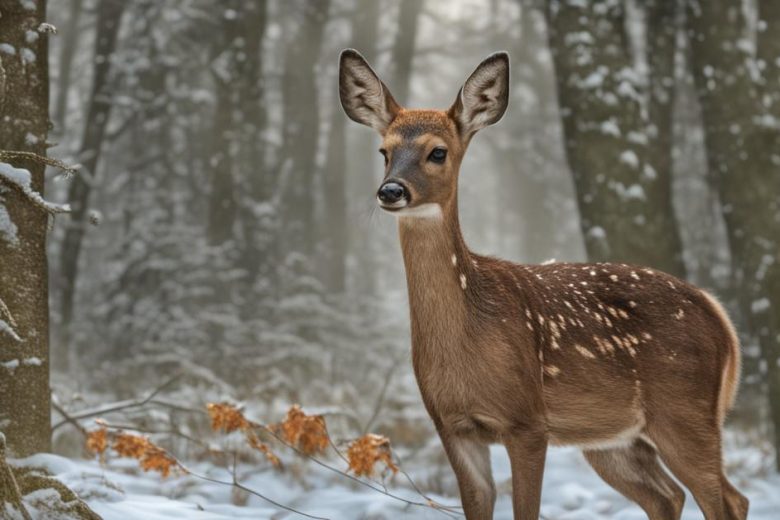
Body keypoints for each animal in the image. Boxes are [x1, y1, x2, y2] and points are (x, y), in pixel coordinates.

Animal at [336, 49, 748, 520]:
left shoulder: (528, 421)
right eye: (384, 151)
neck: (466, 339)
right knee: (669, 495)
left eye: (437, 152)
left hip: (686, 410)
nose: (391, 191)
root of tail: (718, 314)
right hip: (613, 438)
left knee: (725, 499)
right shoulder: (451, 425)